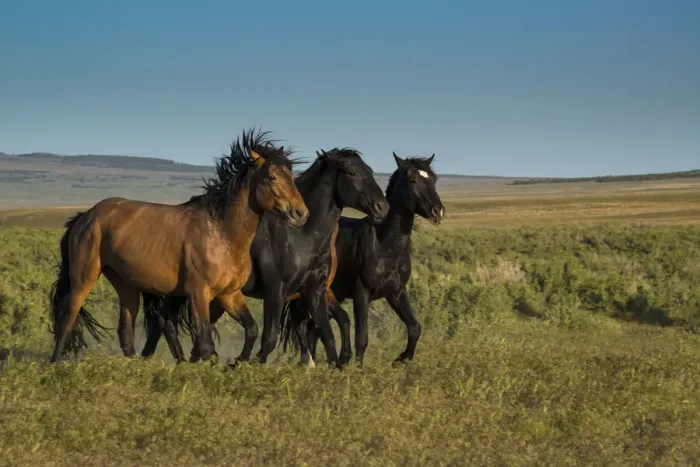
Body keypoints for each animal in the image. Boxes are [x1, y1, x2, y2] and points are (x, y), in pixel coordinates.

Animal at [48, 128, 309, 363]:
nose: (300, 214)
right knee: (66, 319)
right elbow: (204, 344)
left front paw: (237, 362)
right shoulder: (198, 294)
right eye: (271, 177)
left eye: (291, 175)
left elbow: (251, 329)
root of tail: (86, 216)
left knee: (126, 331)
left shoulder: (229, 294)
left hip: (125, 284)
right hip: (84, 278)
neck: (222, 234)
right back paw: (56, 365)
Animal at [140, 148, 390, 367]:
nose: (382, 207)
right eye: (351, 172)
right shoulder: (275, 290)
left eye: (369, 169)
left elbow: (327, 334)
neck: (302, 237)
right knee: (164, 322)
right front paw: (243, 365)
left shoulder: (314, 290)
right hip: (185, 291)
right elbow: (270, 339)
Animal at [280, 152, 445, 367]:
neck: (384, 247)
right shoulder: (362, 294)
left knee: (311, 329)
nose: (438, 211)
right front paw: (358, 368)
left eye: (433, 180)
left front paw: (401, 359)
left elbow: (414, 327)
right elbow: (362, 338)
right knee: (303, 326)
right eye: (413, 180)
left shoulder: (396, 292)